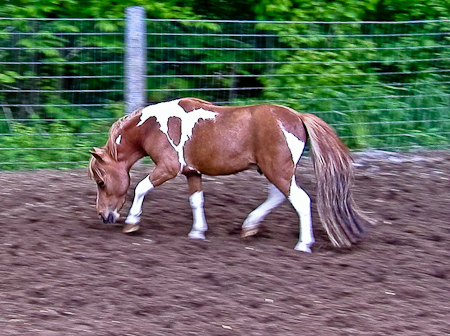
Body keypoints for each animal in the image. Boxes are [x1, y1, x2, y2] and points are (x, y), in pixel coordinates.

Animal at [88, 97, 370, 252]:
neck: (151, 127)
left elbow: (141, 188)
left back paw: (303, 244)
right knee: (278, 197)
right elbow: (196, 200)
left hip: (278, 171)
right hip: (275, 171)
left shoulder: (168, 168)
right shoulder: (192, 172)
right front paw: (198, 231)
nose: (103, 216)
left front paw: (132, 222)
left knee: (300, 200)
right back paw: (249, 226)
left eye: (101, 182)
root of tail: (297, 117)